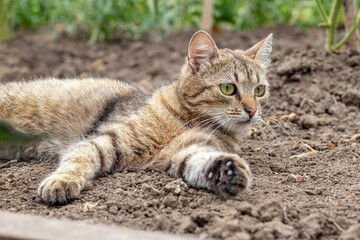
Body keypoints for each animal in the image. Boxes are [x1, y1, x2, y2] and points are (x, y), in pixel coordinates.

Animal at [0, 31, 272, 204]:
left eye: (260, 90)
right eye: (228, 88)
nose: (252, 111)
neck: (190, 119)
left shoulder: (185, 152)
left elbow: (200, 163)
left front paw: (229, 171)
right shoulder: (106, 140)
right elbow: (78, 159)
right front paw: (62, 181)